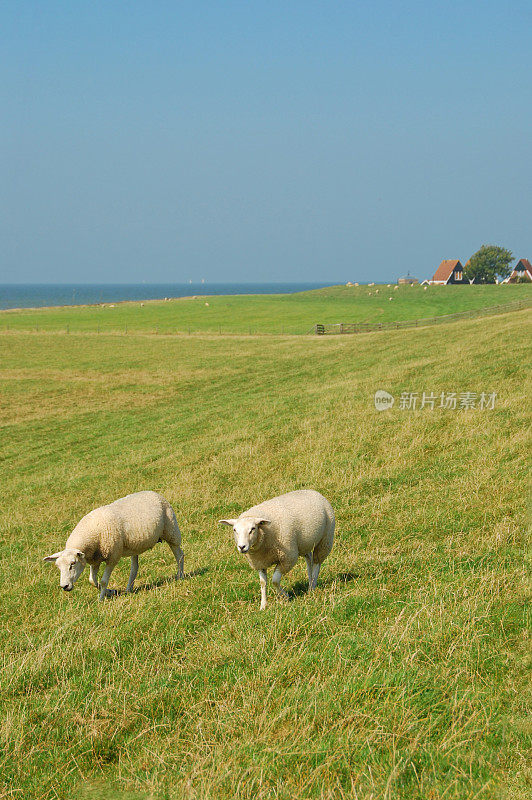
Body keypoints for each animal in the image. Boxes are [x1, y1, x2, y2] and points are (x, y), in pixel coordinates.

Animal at [44, 488, 185, 600]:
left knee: (179, 555)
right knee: (134, 567)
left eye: (73, 564)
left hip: (171, 530)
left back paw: (180, 576)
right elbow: (92, 580)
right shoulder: (95, 560)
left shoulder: (112, 557)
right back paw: (129, 589)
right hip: (135, 545)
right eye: (57, 566)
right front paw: (110, 592)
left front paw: (101, 599)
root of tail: (153, 492)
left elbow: (103, 581)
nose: (64, 586)